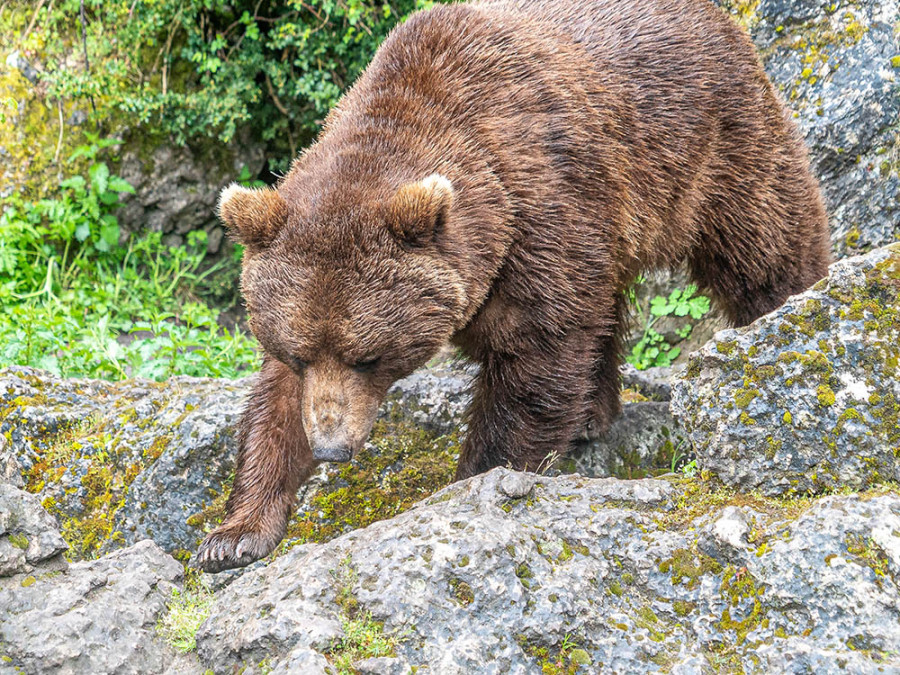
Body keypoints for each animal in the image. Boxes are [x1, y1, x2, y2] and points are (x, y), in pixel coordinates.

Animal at [195, 0, 828, 576]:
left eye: (369, 356)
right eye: (300, 353)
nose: (331, 447)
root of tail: (720, 19)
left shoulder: (542, 209)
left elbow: (538, 352)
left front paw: (472, 479)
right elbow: (274, 404)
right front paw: (234, 533)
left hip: (709, 146)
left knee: (766, 241)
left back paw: (794, 309)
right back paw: (593, 413)